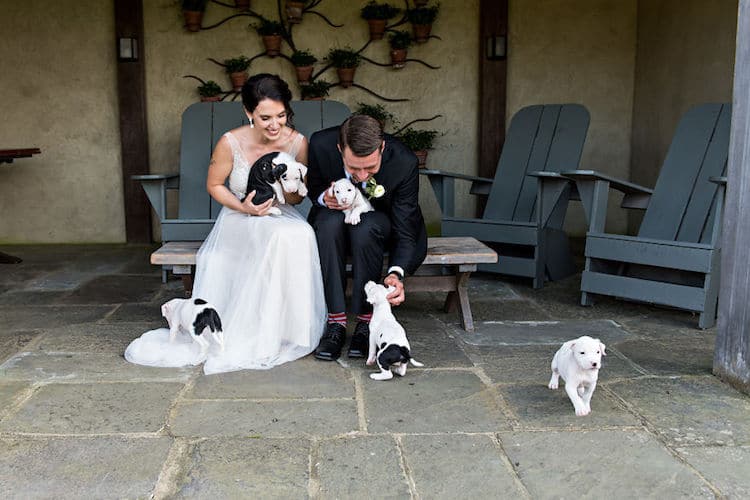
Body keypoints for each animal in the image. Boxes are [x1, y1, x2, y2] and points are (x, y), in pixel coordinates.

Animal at [308, 115, 428, 362]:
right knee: (329, 221)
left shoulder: (365, 204)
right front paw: (341, 210)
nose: (344, 200)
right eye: (336, 192)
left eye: (349, 191)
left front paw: (353, 215)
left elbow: (359, 210)